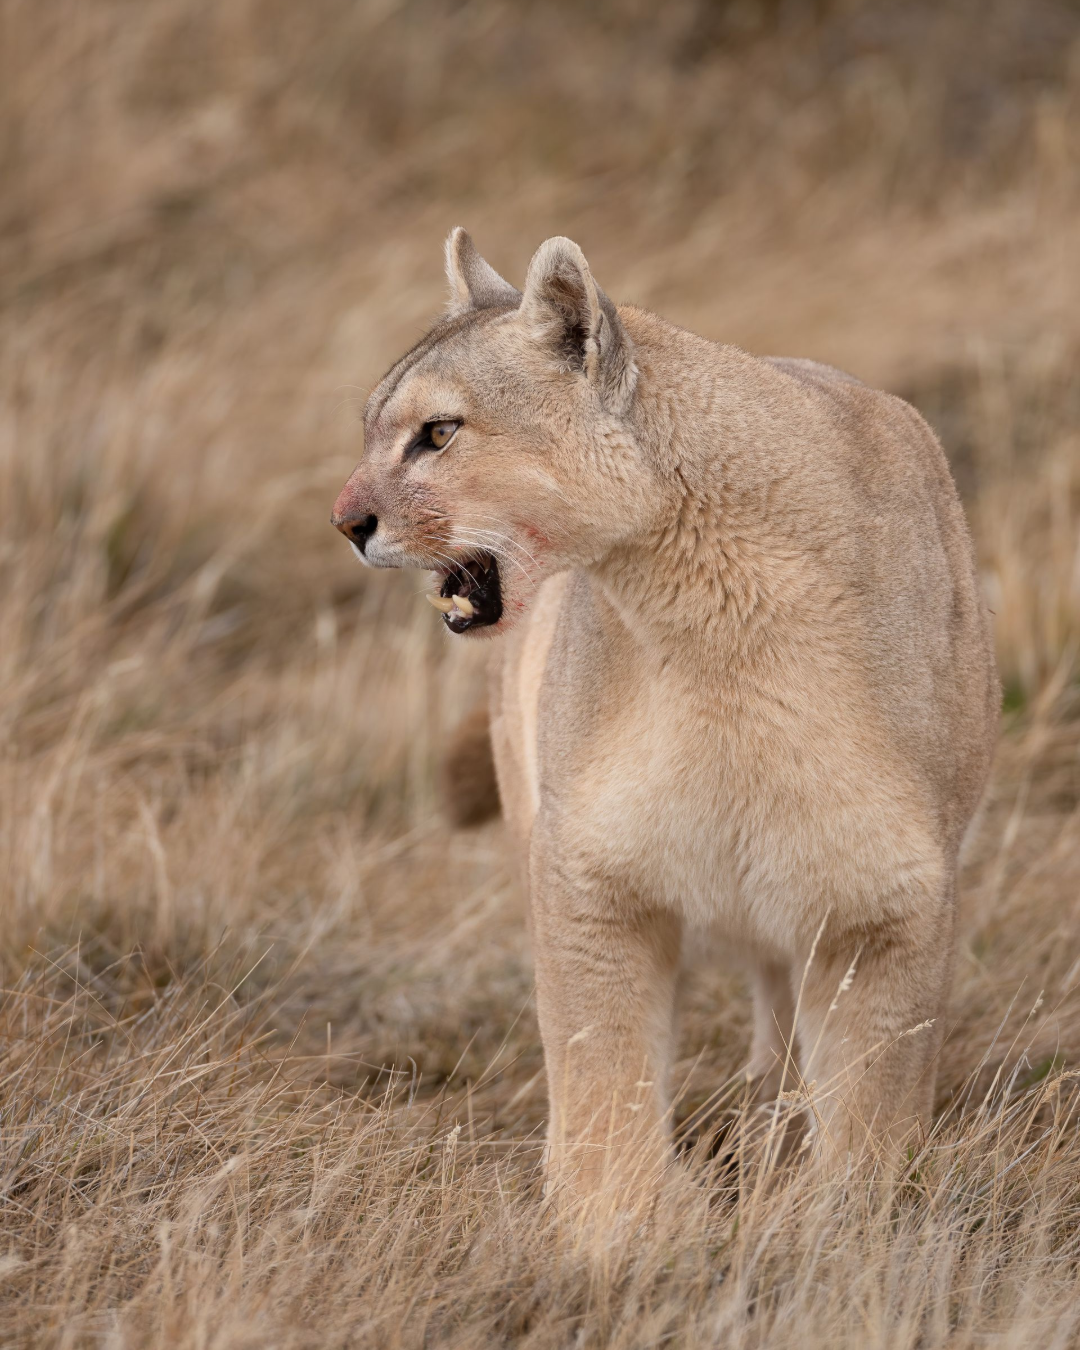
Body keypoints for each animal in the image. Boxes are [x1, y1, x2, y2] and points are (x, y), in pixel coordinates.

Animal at [331, 229, 998, 1198]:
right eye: (375, 426)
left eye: (439, 432)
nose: (346, 522)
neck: (720, 634)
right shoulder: (590, 870)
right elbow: (602, 1068)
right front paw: (614, 1217)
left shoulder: (891, 897)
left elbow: (875, 1106)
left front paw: (851, 1214)